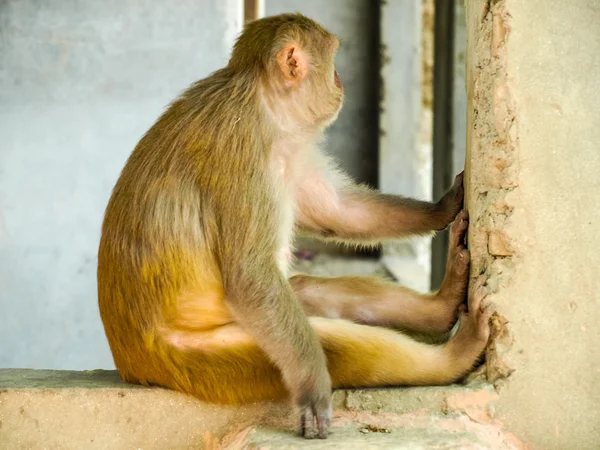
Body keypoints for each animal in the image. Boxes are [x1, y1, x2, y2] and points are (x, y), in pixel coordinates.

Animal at [98, 13, 492, 440]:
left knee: (304, 291)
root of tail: (136, 366)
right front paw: (314, 387)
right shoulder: (247, 152)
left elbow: (338, 212)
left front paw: (443, 207)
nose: (339, 81)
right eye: (332, 60)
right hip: (203, 360)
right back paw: (454, 358)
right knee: (331, 342)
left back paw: (442, 306)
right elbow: (250, 278)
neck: (261, 101)